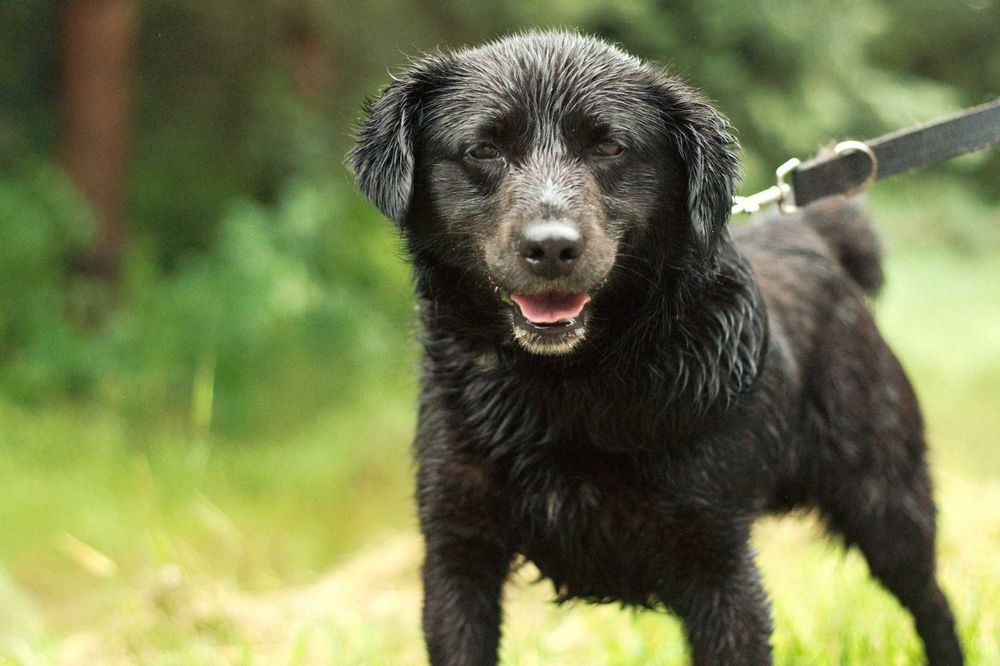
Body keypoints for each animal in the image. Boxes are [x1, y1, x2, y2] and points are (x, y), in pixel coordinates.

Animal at [350, 32, 960, 664]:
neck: (566, 385)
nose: (551, 248)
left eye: (610, 147)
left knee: (933, 603)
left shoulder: (717, 562)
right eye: (483, 150)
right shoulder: (457, 551)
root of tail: (812, 233)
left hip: (887, 503)